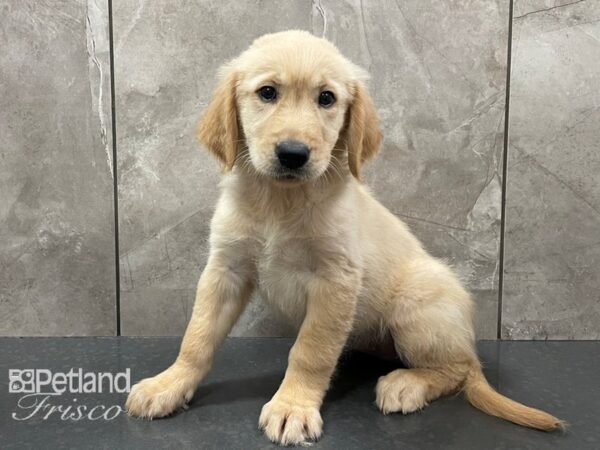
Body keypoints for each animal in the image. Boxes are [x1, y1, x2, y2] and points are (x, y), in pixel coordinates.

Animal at [124, 29, 564, 444]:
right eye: (267, 92)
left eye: (326, 98)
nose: (293, 154)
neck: (279, 202)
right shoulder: (225, 270)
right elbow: (196, 337)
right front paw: (169, 383)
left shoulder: (335, 279)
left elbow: (310, 351)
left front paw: (293, 406)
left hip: (416, 306)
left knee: (458, 368)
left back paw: (407, 384)